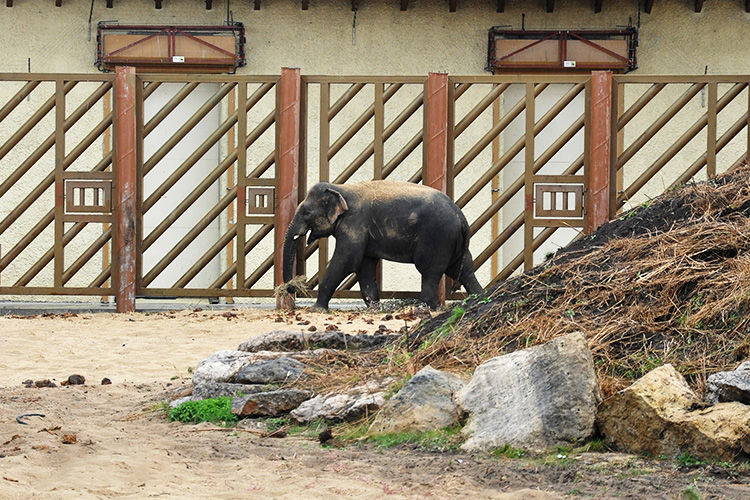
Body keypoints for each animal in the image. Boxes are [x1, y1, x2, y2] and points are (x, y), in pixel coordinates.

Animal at [284, 182, 488, 310]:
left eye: (307, 213)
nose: (292, 287)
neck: (341, 188)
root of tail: (461, 217)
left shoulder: (355, 221)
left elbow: (346, 260)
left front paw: (316, 310)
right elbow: (365, 265)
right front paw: (374, 309)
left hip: (438, 237)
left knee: (430, 270)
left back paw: (424, 307)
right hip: (454, 242)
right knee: (463, 269)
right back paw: (480, 299)